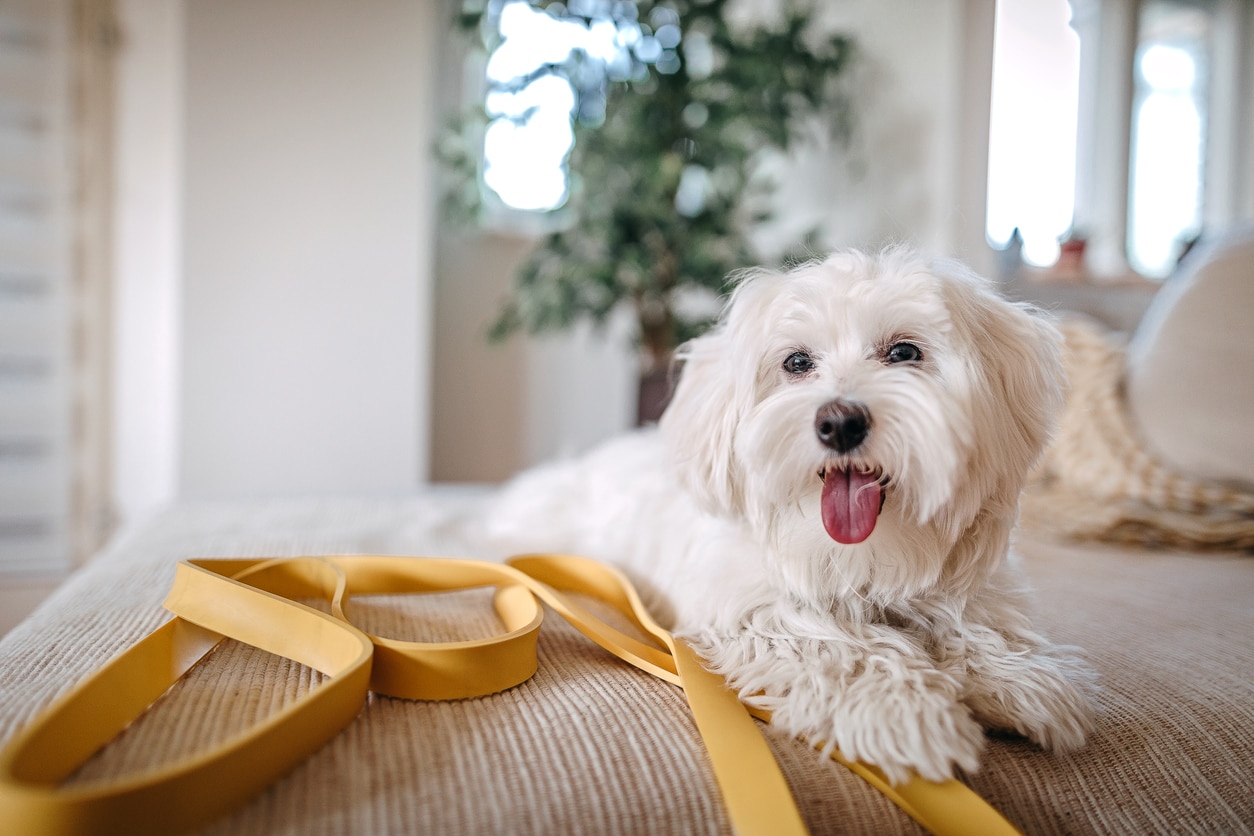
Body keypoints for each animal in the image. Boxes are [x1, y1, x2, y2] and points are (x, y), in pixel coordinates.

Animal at [484, 246, 1093, 787]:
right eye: (797, 363)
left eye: (904, 353)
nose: (840, 422)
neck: (866, 558)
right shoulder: (752, 608)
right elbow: (840, 648)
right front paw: (910, 712)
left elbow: (977, 623)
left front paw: (1016, 676)